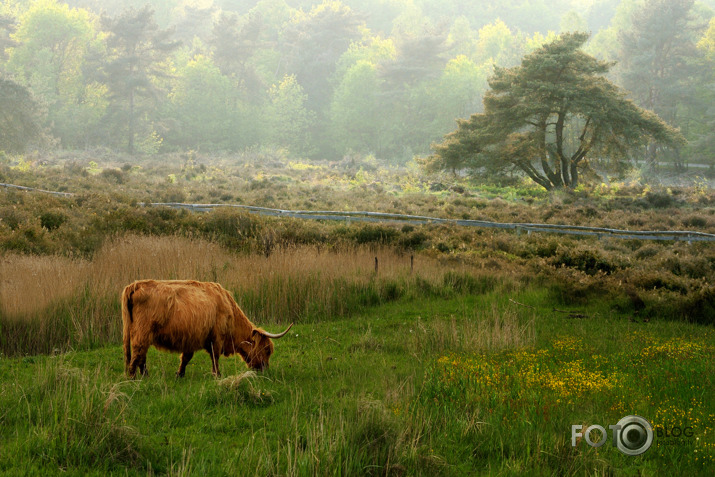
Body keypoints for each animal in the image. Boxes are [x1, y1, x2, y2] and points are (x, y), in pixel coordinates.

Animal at [121, 278, 292, 376]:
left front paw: (180, 374)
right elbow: (215, 357)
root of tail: (135, 285)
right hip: (143, 332)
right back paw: (133, 378)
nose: (265, 369)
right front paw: (217, 375)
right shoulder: (217, 336)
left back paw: (145, 375)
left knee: (141, 355)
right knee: (137, 354)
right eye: (267, 349)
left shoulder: (190, 337)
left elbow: (186, 357)